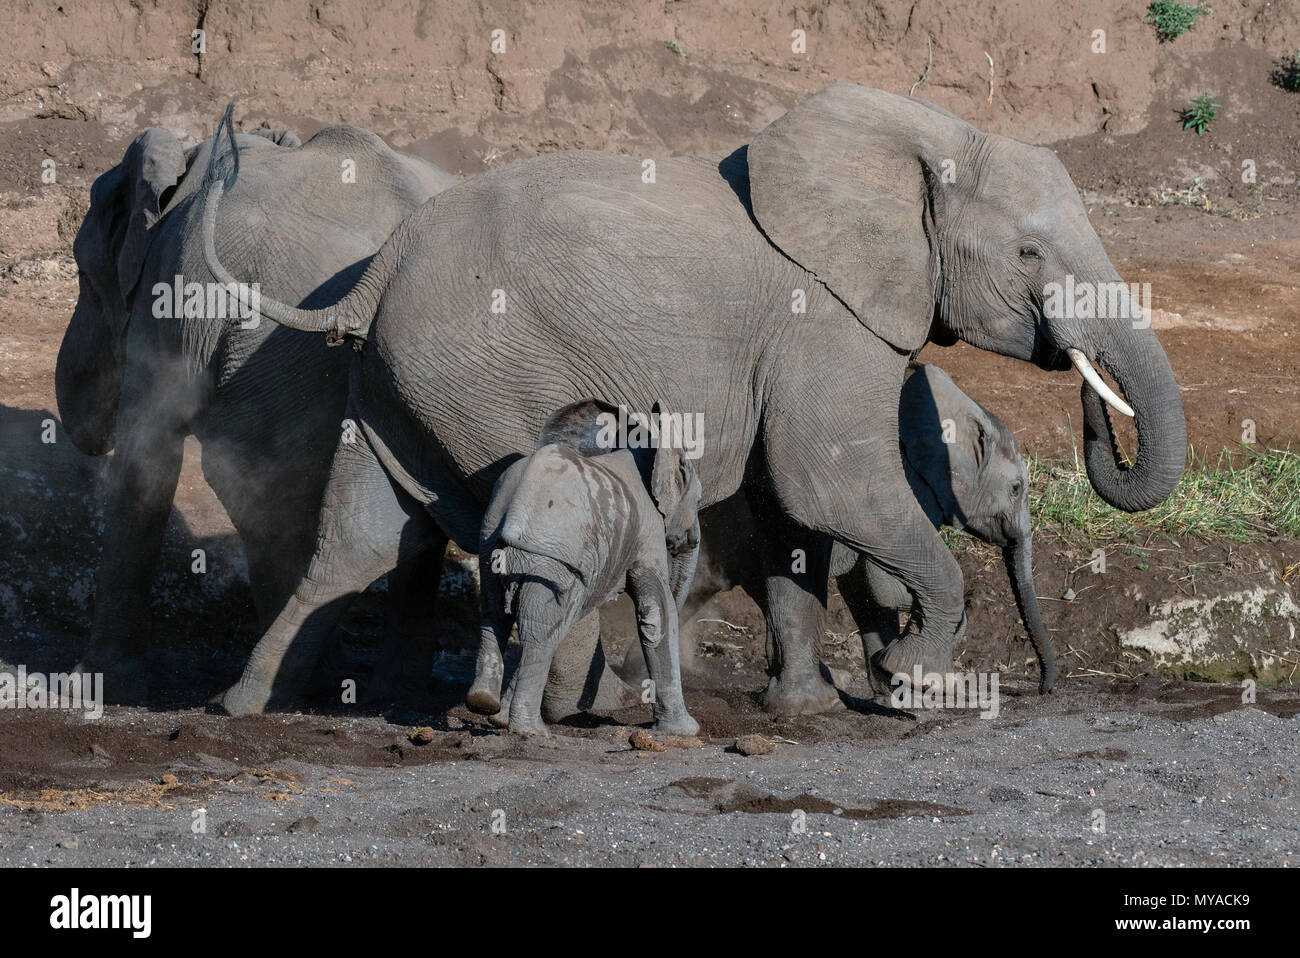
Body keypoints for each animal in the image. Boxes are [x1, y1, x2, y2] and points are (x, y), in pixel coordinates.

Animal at [58, 117, 460, 701]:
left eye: (83, 275)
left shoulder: (169, 290)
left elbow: (146, 460)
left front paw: (94, 685)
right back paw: (372, 689)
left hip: (288, 359)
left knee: (261, 489)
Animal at [467, 395, 702, 733]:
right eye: (698, 501)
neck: (652, 448)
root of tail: (518, 510)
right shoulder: (648, 532)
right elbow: (657, 610)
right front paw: (685, 732)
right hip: (548, 561)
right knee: (541, 631)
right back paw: (531, 732)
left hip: (490, 545)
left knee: (495, 614)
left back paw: (486, 706)